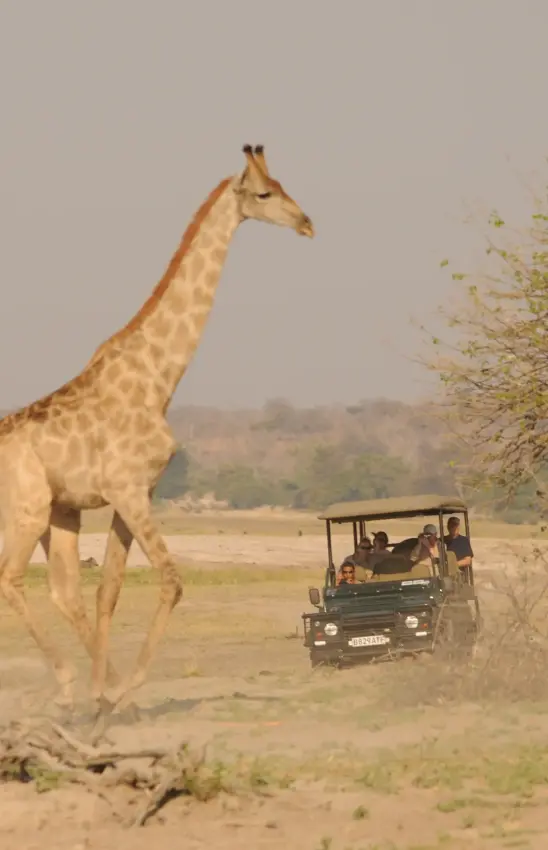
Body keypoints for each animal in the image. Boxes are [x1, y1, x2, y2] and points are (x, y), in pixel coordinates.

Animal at [0, 144, 314, 720]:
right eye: (264, 193)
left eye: (283, 185)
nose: (306, 223)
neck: (159, 378)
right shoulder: (128, 490)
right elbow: (170, 580)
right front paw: (125, 688)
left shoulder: (135, 491)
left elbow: (108, 590)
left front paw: (109, 692)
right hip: (27, 506)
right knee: (12, 578)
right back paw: (66, 684)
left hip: (60, 511)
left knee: (62, 589)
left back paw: (87, 685)